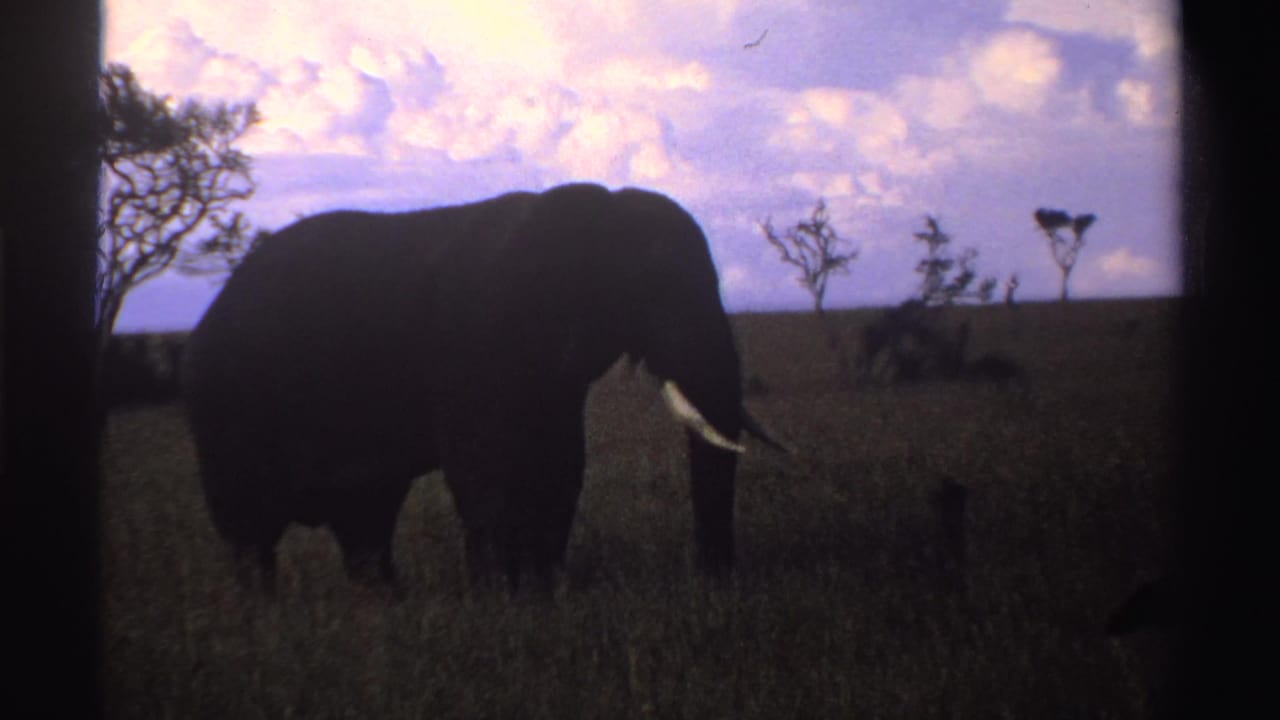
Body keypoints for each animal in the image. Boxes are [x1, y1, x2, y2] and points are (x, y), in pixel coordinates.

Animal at [181, 182, 783, 594]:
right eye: (657, 288)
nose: (717, 581)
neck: (597, 212)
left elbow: (561, 467)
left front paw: (542, 590)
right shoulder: (476, 337)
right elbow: (484, 470)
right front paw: (501, 599)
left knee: (366, 518)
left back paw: (388, 605)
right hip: (225, 407)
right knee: (251, 530)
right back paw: (265, 615)